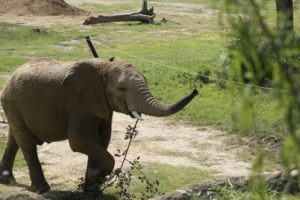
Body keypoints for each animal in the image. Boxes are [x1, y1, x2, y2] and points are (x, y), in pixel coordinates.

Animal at [0, 56, 198, 194]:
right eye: (121, 89)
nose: (196, 90)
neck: (104, 67)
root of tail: (11, 75)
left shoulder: (101, 105)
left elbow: (103, 140)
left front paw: (92, 187)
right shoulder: (77, 103)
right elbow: (79, 140)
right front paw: (96, 176)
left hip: (14, 105)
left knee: (14, 139)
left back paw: (7, 181)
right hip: (12, 101)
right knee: (26, 142)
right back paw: (41, 189)